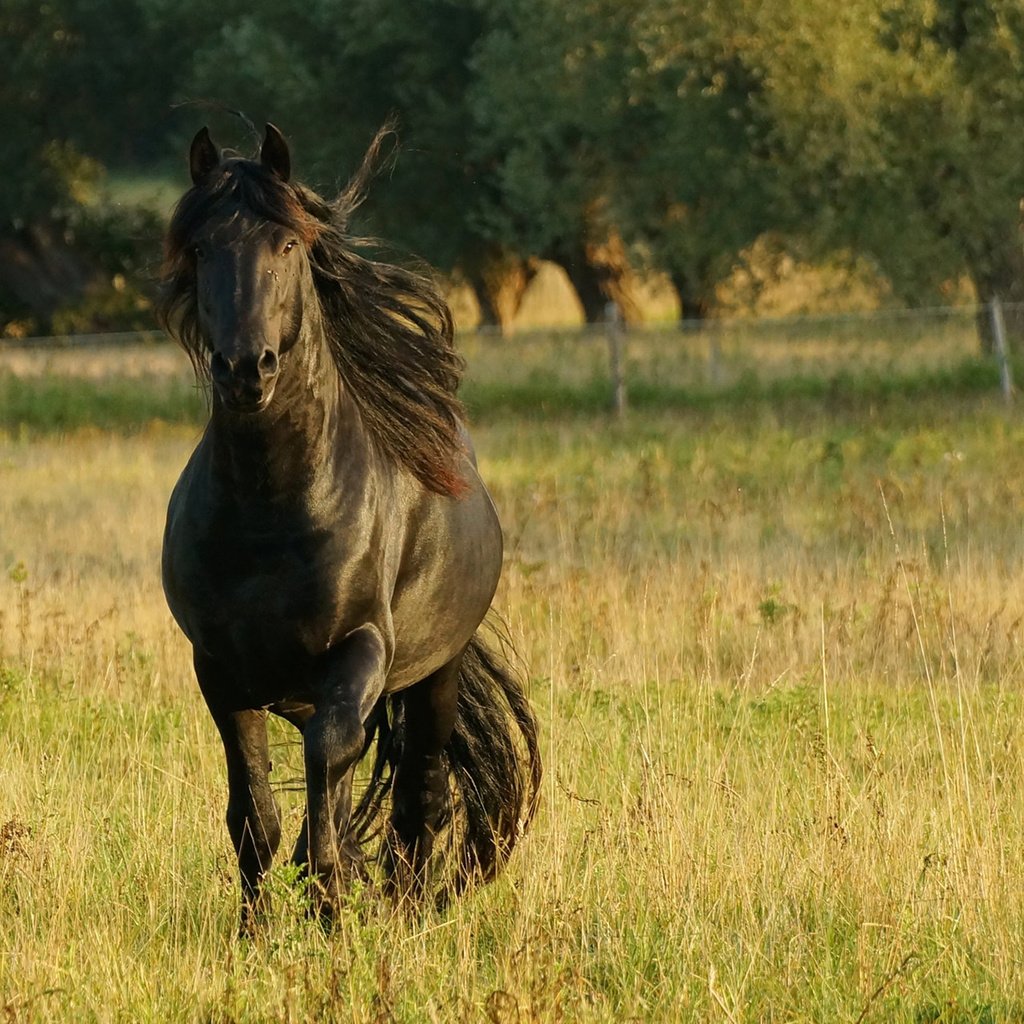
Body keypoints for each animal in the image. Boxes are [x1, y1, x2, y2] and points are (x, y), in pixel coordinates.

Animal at [158, 123, 540, 925]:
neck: (271, 511)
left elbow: (333, 769)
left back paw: (406, 910)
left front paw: (330, 909)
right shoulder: (219, 670)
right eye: (201, 249)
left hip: (432, 676)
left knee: (418, 793)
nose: (246, 368)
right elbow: (256, 814)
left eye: (287, 245)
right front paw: (256, 931)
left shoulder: (358, 650)